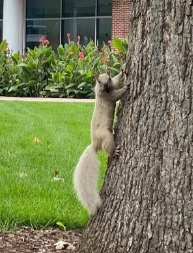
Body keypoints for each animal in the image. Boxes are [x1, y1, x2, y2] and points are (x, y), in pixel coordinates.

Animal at [73, 70, 127, 214]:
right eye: (98, 81)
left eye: (108, 78)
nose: (106, 87)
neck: (104, 91)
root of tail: (95, 144)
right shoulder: (108, 96)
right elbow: (117, 95)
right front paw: (126, 87)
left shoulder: (112, 86)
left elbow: (117, 81)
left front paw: (122, 72)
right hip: (105, 136)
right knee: (108, 148)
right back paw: (114, 152)